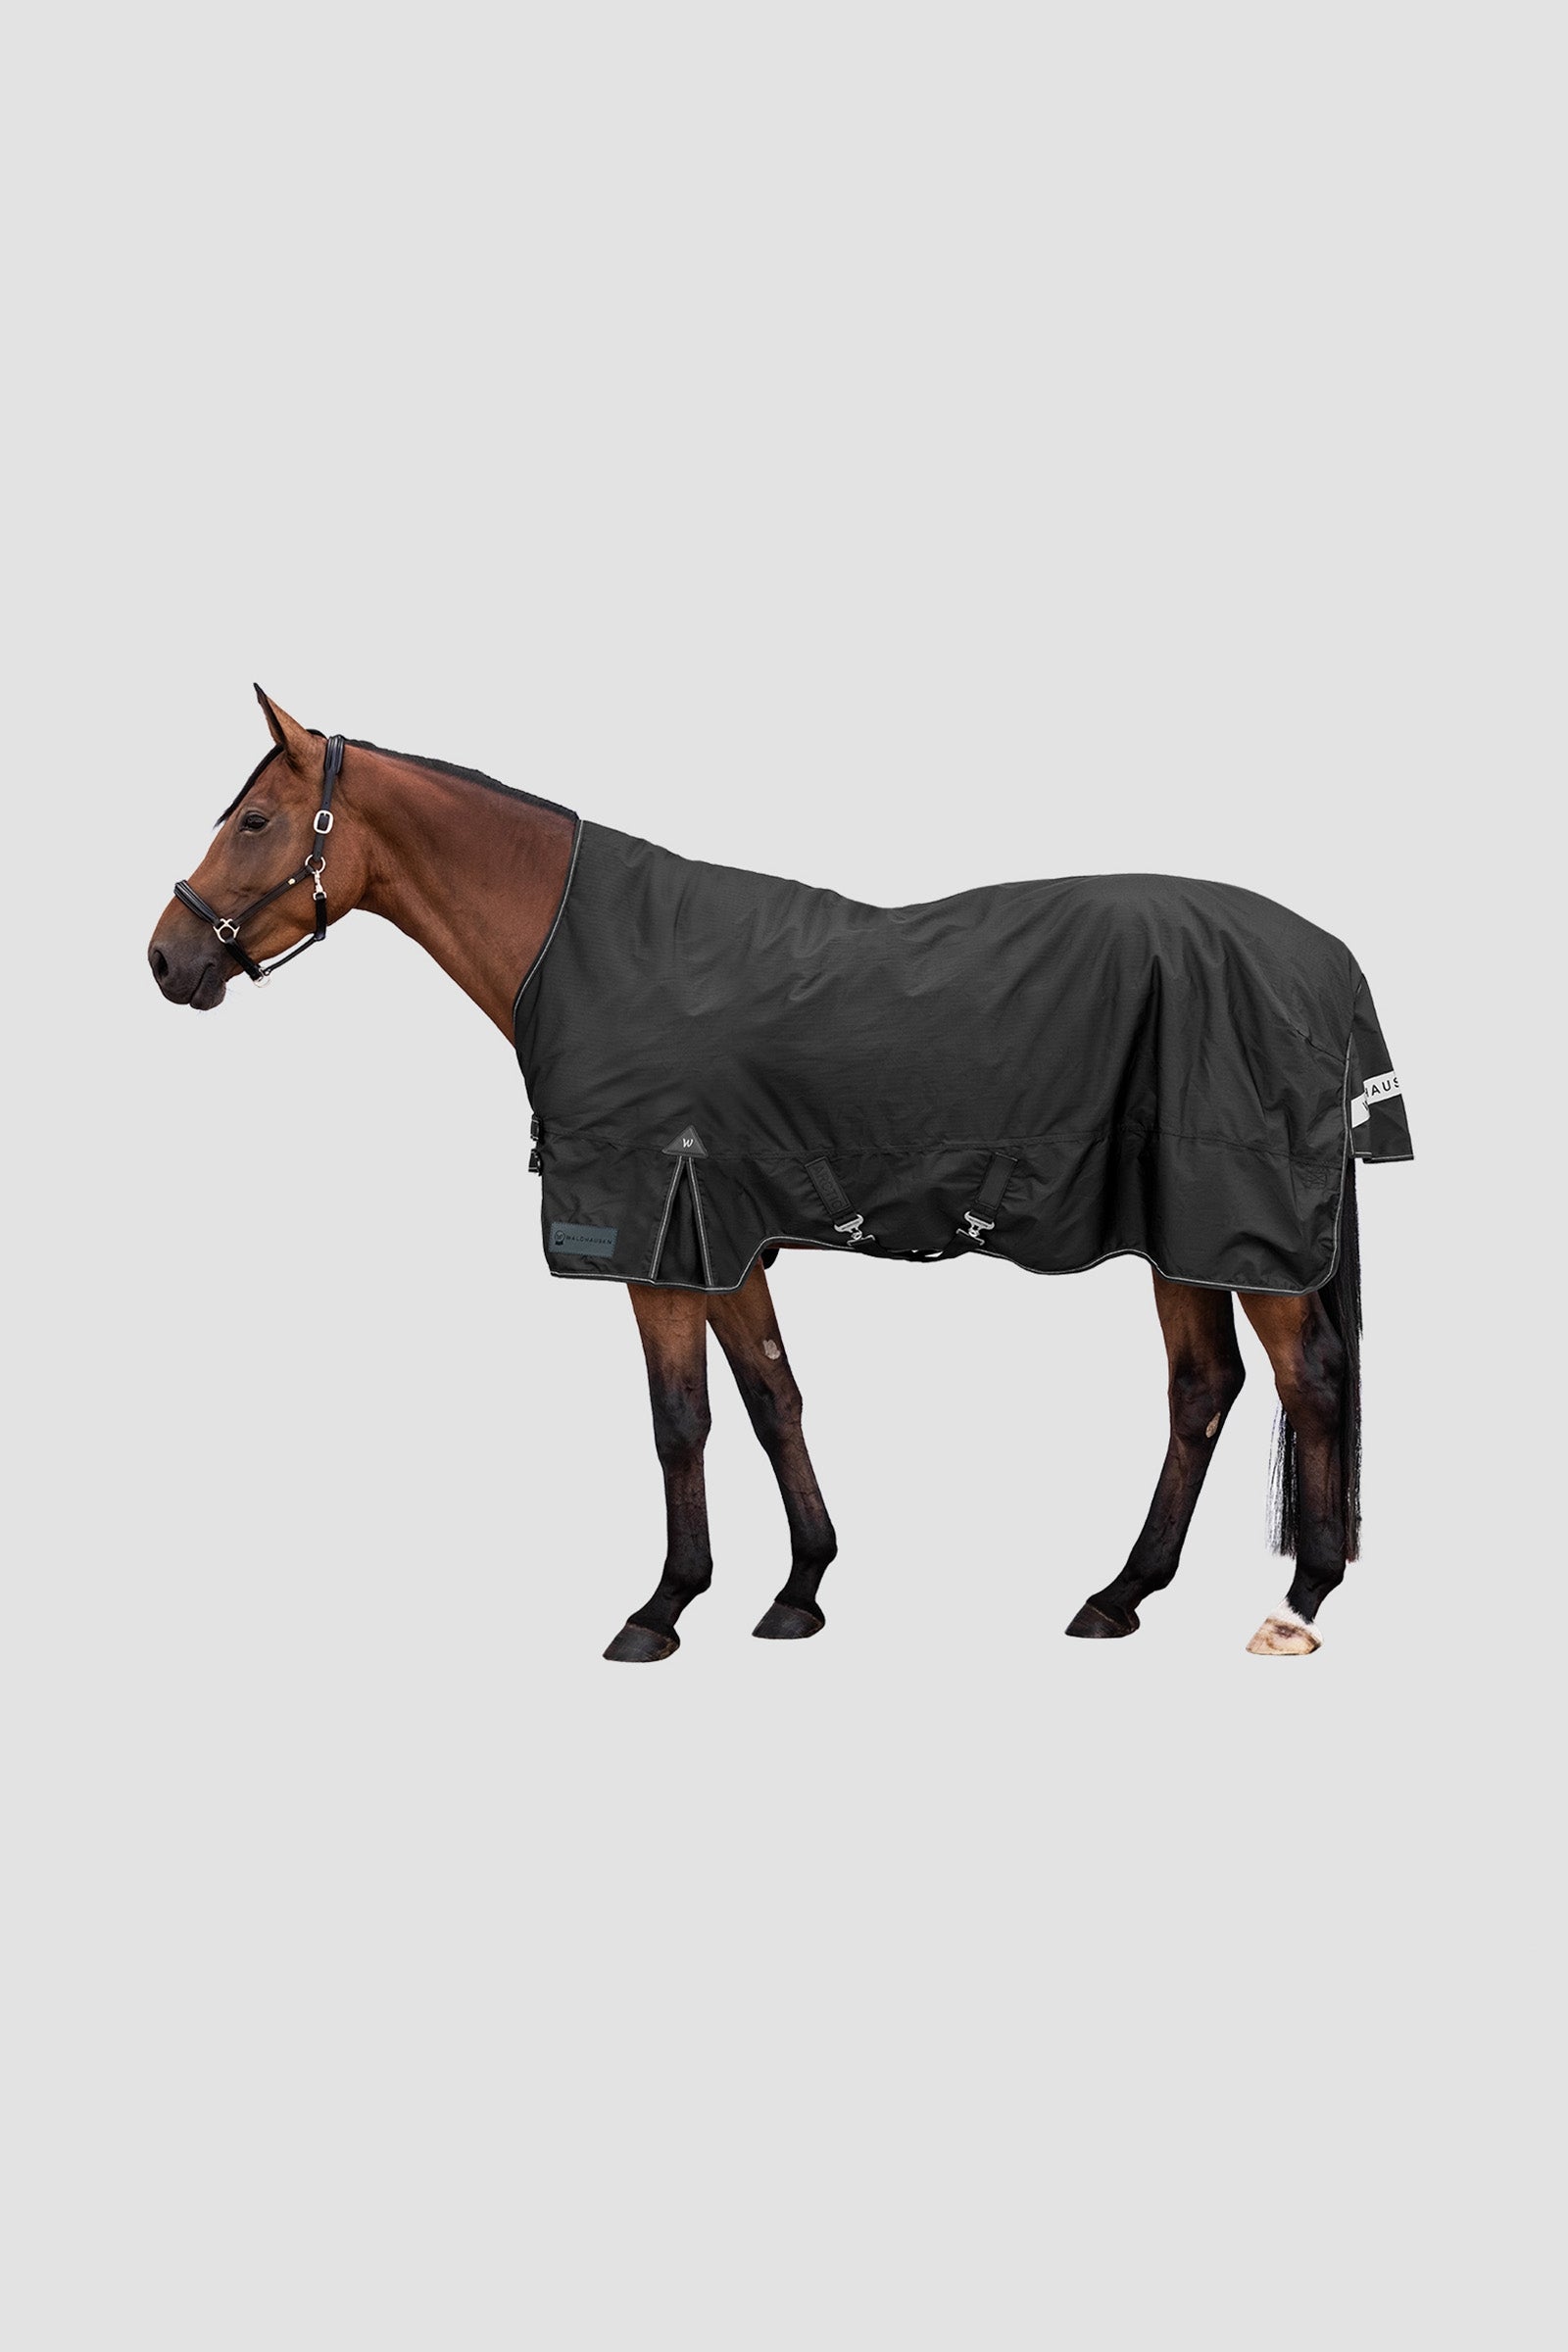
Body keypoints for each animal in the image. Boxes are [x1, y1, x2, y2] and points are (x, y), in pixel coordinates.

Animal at [149, 688, 1409, 1662]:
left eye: (254, 818)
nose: (166, 958)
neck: (586, 949)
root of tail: (1323, 955)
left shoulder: (655, 1240)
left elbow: (681, 1420)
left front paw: (661, 1608)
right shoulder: (725, 1236)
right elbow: (770, 1398)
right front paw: (800, 1589)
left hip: (1238, 1231)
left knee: (1309, 1384)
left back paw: (1296, 1605)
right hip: (1183, 1232)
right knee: (1203, 1391)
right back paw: (1117, 1595)